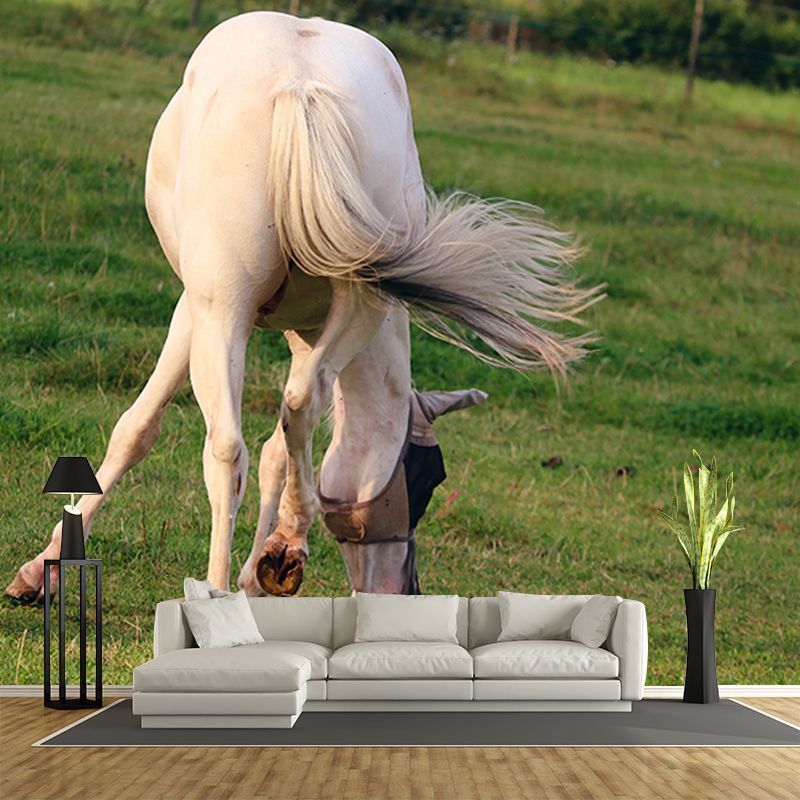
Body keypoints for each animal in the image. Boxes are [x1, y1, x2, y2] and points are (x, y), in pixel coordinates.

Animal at [5, 11, 601, 601]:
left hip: (229, 313)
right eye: (428, 479)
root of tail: (300, 85)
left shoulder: (207, 312)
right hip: (342, 304)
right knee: (291, 408)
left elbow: (198, 435)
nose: (405, 590)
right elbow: (194, 434)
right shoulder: (252, 323)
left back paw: (229, 583)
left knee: (230, 448)